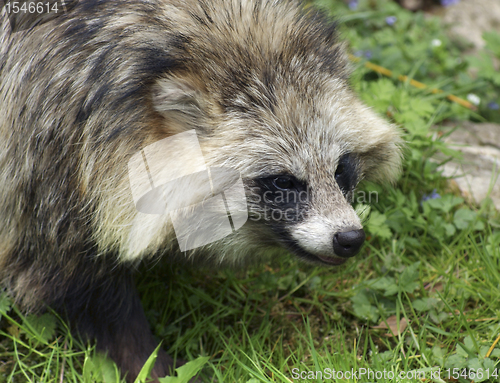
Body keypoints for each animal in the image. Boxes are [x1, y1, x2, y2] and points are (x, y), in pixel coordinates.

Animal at [0, 0, 402, 380]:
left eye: (341, 168)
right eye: (282, 181)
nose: (350, 239)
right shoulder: (46, 162)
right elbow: (74, 280)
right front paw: (146, 363)